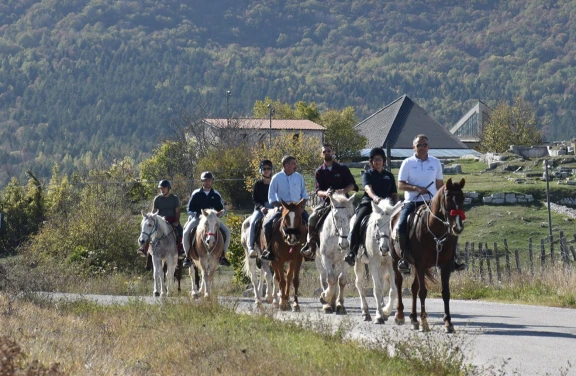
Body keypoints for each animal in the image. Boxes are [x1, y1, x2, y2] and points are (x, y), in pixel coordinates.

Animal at [390, 178, 466, 334]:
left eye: (463, 198)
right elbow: (423, 292)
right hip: (396, 260)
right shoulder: (420, 264)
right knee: (399, 283)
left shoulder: (444, 266)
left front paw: (448, 323)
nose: (458, 227)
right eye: (448, 199)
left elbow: (445, 292)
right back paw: (400, 315)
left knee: (413, 288)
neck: (435, 231)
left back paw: (413, 319)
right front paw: (424, 323)